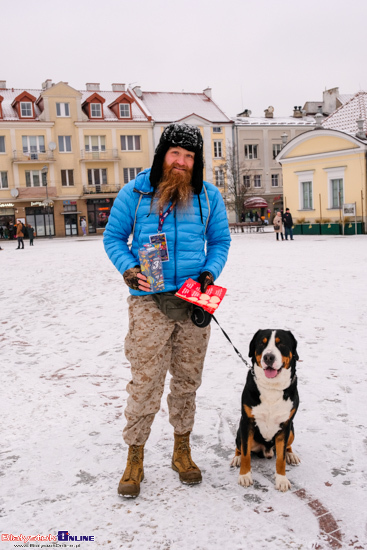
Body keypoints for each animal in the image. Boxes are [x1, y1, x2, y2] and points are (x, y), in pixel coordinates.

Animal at [231, 330, 300, 494]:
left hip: (292, 431)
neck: (272, 387)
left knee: (286, 448)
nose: (268, 357)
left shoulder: (286, 425)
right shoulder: (247, 422)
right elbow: (245, 454)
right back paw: (236, 458)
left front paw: (281, 480)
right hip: (240, 432)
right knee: (239, 447)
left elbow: (281, 458)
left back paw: (291, 455)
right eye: (262, 343)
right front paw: (245, 475)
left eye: (281, 343)